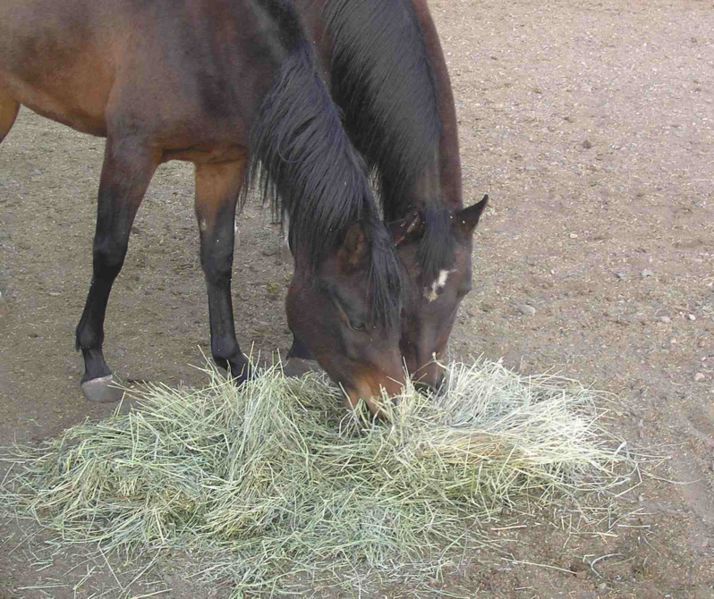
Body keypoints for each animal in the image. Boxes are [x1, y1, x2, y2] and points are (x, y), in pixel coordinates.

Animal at [0, 0, 404, 410]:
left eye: (398, 313)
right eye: (357, 321)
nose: (390, 402)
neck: (209, 40)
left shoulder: (222, 165)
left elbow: (218, 257)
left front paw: (233, 360)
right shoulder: (130, 154)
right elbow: (110, 253)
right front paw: (94, 360)